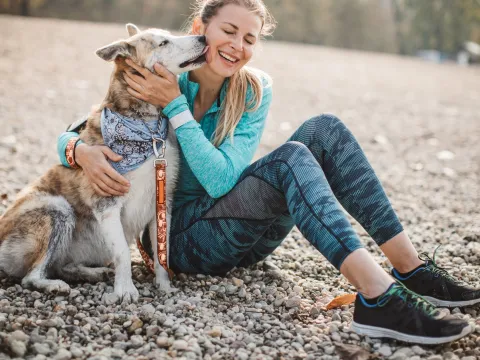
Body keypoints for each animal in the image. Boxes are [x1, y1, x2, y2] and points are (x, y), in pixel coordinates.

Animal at [0, 23, 207, 304]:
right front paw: (125, 290)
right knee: (31, 276)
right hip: (56, 209)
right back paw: (54, 285)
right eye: (163, 43)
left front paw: (164, 287)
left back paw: (91, 273)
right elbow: (122, 252)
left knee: (61, 265)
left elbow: (161, 252)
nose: (204, 38)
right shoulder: (107, 203)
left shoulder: (163, 202)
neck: (146, 128)